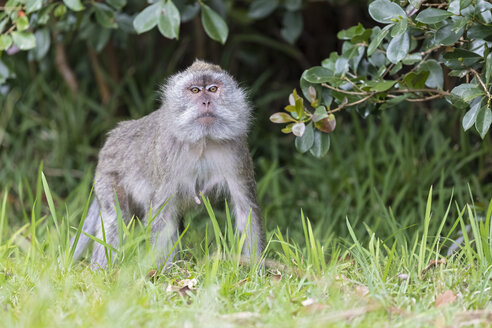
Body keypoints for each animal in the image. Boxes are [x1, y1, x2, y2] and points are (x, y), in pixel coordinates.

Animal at [71, 60, 264, 268]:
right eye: (195, 90)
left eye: (213, 89)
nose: (206, 102)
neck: (202, 140)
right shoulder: (166, 154)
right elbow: (161, 215)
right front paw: (160, 270)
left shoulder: (237, 151)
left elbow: (246, 209)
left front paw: (257, 270)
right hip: (108, 177)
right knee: (116, 221)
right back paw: (101, 269)